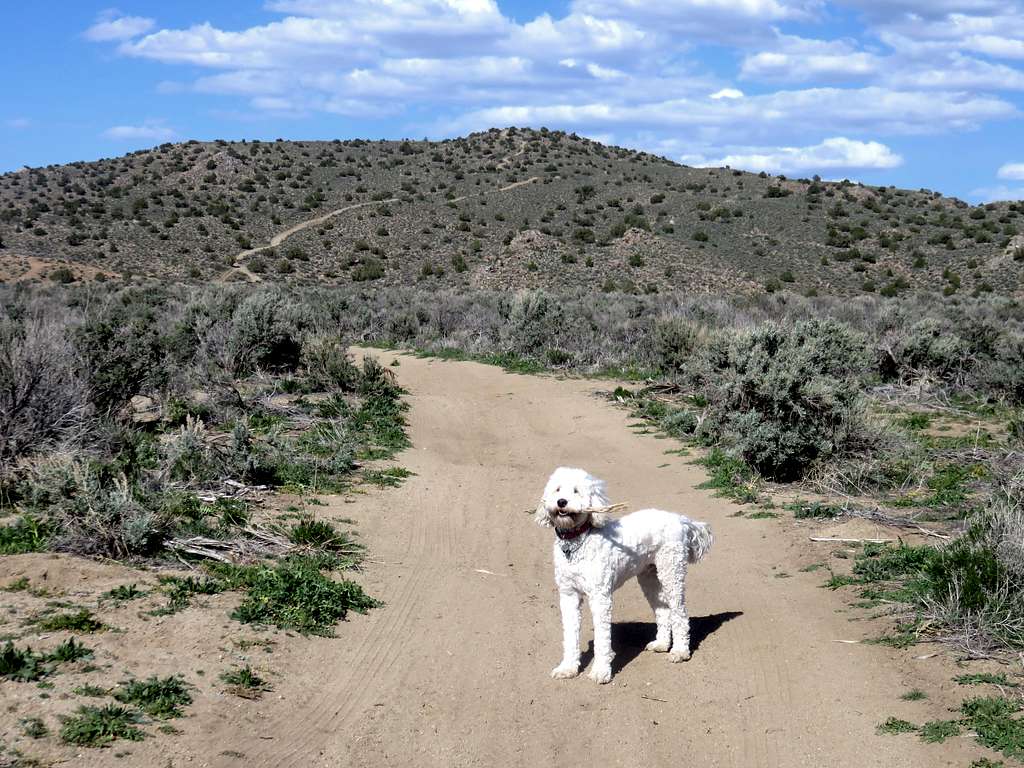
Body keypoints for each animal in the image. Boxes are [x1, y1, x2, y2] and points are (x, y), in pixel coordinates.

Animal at [536, 468, 712, 684]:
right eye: (557, 489)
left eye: (576, 491)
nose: (561, 502)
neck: (578, 541)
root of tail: (681, 519)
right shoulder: (569, 595)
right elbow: (570, 635)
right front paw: (567, 668)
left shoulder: (600, 597)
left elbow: (602, 638)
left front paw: (600, 671)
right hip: (649, 578)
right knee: (663, 610)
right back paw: (662, 644)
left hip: (671, 572)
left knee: (680, 614)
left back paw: (680, 651)